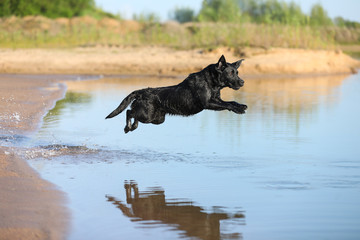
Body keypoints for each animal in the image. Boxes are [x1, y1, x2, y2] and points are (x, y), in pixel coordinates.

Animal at [106, 54, 248, 133]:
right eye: (230, 73)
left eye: (237, 72)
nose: (242, 82)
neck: (211, 82)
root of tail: (141, 92)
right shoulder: (208, 103)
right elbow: (228, 104)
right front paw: (239, 109)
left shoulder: (216, 100)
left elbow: (231, 102)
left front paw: (241, 106)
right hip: (147, 115)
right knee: (129, 112)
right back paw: (127, 128)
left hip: (156, 119)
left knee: (133, 113)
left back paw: (132, 127)